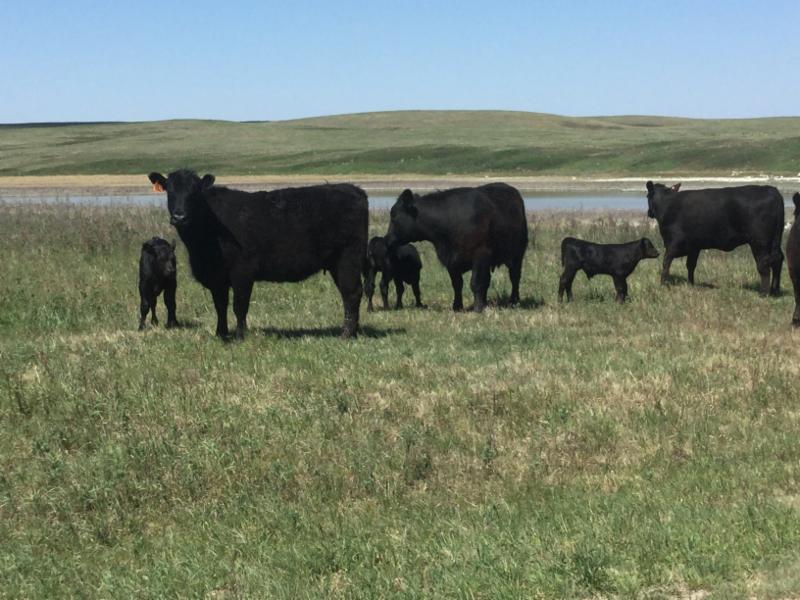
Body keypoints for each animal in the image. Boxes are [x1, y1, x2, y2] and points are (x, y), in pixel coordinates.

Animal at [148, 170, 368, 339]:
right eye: (169, 191)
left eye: (194, 193)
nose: (179, 216)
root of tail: (353, 189)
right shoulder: (217, 277)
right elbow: (220, 305)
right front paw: (221, 333)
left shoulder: (242, 271)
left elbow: (239, 305)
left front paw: (239, 336)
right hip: (337, 263)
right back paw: (353, 331)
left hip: (348, 257)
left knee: (352, 293)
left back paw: (346, 334)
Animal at [384, 183, 528, 312]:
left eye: (394, 215)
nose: (387, 239)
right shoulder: (451, 260)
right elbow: (457, 284)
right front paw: (457, 306)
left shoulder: (480, 254)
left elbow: (476, 282)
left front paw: (478, 308)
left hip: (517, 254)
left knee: (514, 277)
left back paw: (514, 301)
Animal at [646, 181, 784, 295]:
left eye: (647, 196)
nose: (648, 212)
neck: (667, 203)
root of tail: (771, 190)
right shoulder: (694, 247)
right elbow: (690, 265)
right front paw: (691, 284)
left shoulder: (673, 243)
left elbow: (666, 262)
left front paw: (663, 284)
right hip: (775, 240)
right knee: (778, 259)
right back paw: (775, 291)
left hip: (759, 242)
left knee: (764, 263)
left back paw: (763, 293)